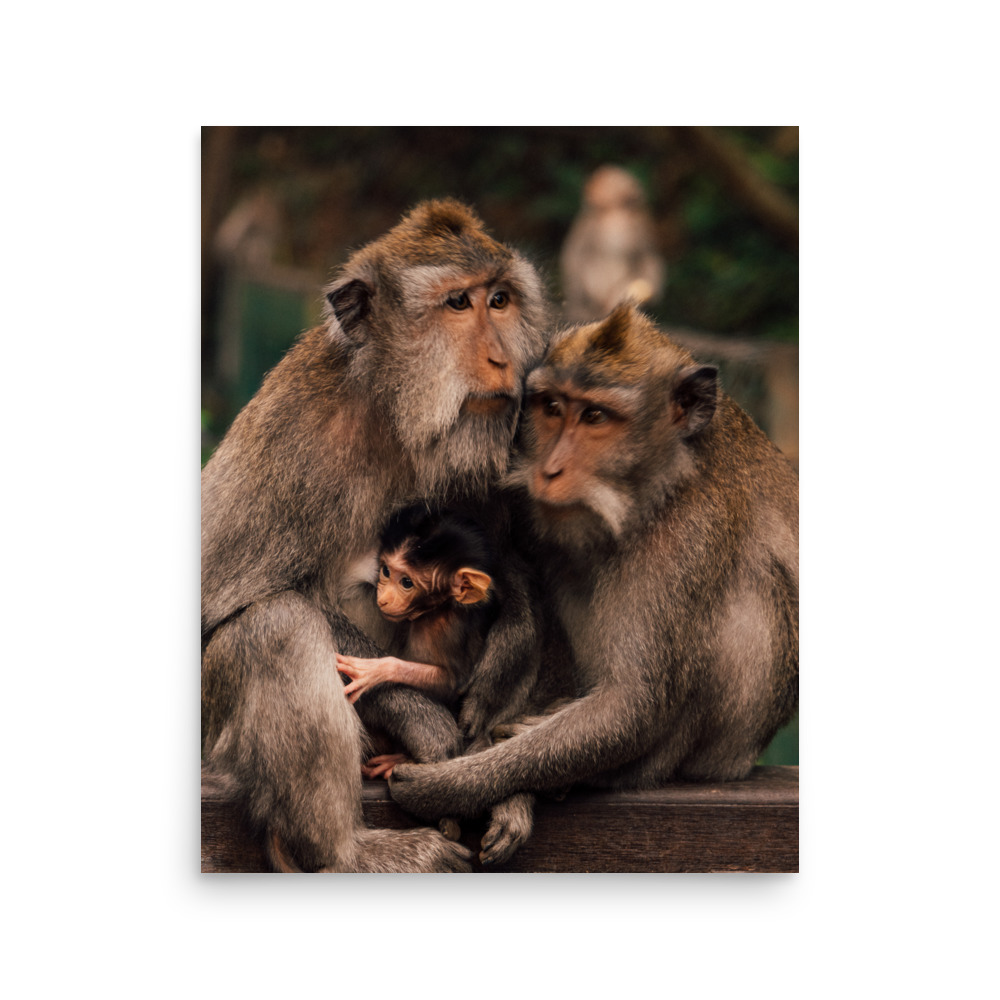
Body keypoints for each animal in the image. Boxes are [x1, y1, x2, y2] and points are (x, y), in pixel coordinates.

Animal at [201, 199, 549, 872]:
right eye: (457, 304)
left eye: (500, 300)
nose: (504, 360)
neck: (395, 413)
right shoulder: (295, 437)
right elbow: (222, 611)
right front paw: (432, 730)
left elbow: (506, 571)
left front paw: (510, 656)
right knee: (274, 626)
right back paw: (347, 852)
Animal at [386, 302, 798, 835]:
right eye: (552, 407)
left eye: (596, 416)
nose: (549, 470)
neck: (658, 483)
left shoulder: (691, 529)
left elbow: (632, 706)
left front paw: (448, 786)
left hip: (725, 748)